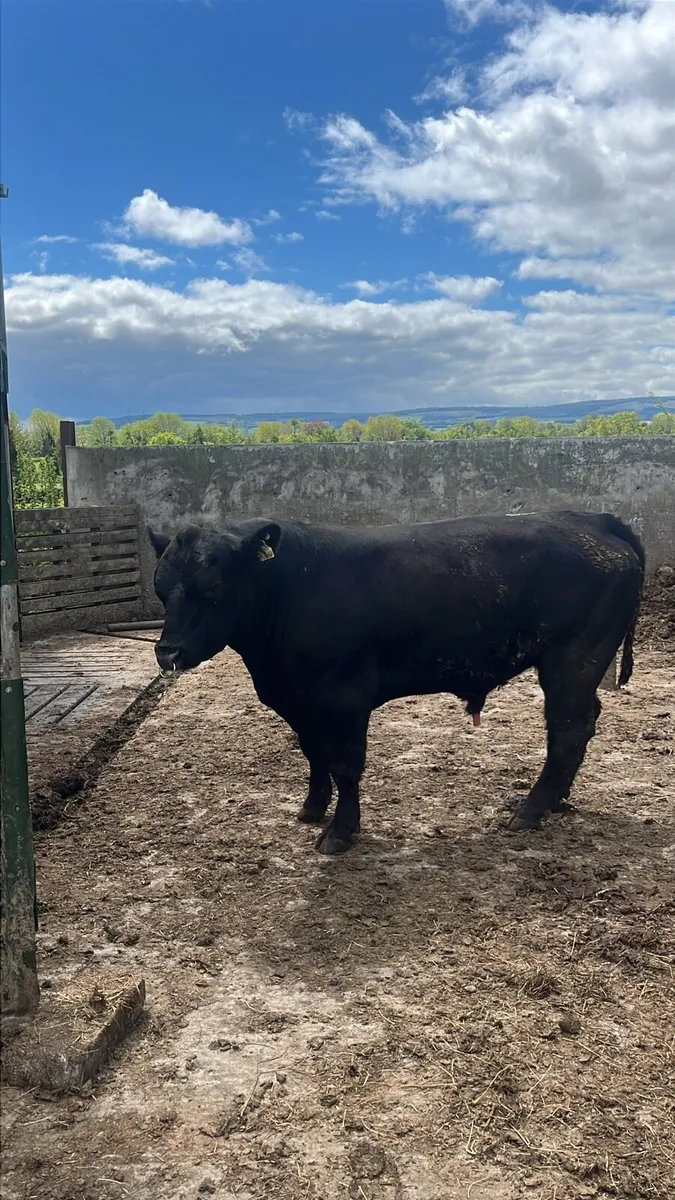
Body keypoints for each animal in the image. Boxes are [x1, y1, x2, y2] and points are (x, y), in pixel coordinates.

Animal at [148, 511, 644, 856]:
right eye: (160, 589)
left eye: (213, 588)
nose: (167, 652)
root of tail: (592, 518)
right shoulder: (300, 702)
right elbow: (313, 754)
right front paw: (312, 808)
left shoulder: (345, 699)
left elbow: (345, 764)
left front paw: (341, 831)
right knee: (582, 724)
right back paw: (555, 800)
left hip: (574, 659)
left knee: (568, 729)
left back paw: (530, 809)